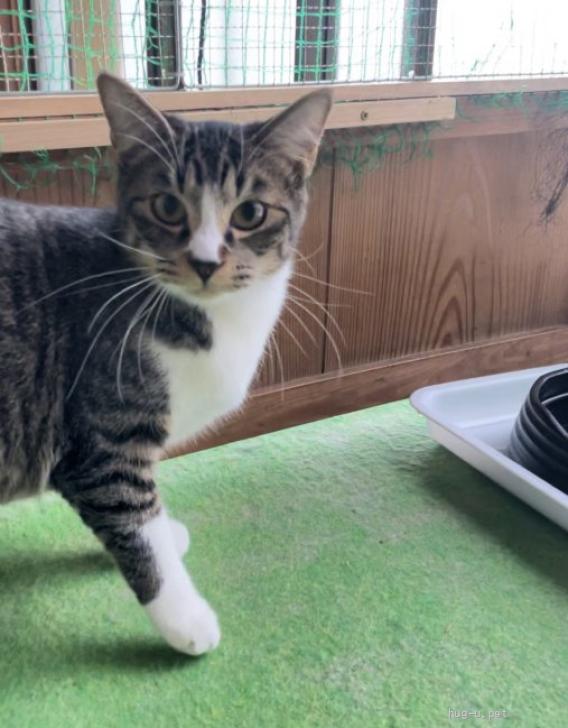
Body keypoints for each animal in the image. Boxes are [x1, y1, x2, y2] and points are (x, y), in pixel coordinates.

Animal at [0, 73, 331, 655]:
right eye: (168, 207)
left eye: (251, 213)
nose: (204, 262)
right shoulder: (103, 436)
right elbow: (135, 520)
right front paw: (187, 620)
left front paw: (166, 533)